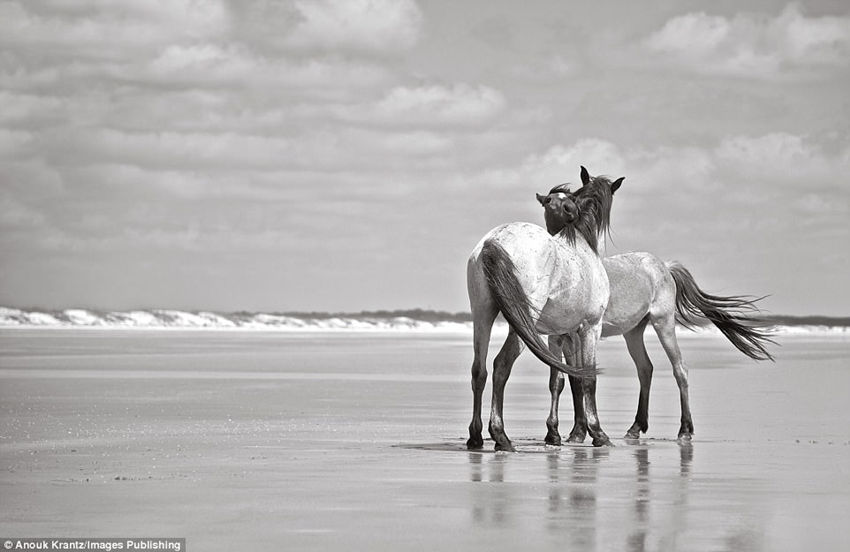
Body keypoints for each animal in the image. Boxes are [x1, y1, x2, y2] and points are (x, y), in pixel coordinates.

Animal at [464, 167, 624, 448]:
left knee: (479, 370)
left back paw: (475, 436)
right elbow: (588, 378)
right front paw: (598, 433)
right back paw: (500, 435)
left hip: (482, 315)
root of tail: (493, 241)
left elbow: (563, 379)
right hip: (521, 323)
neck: (582, 244)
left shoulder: (561, 334)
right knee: (501, 365)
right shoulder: (590, 328)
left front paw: (560, 433)